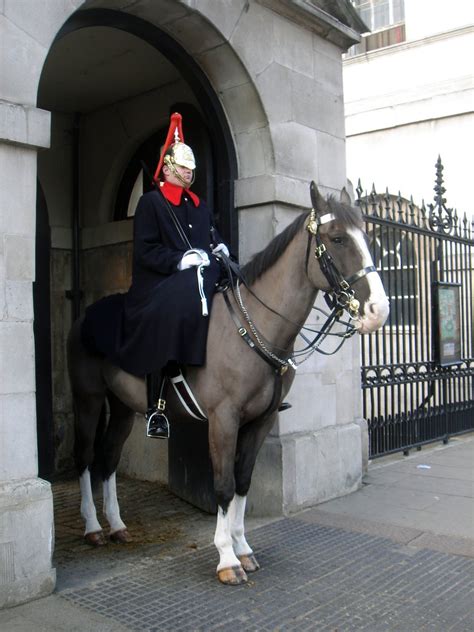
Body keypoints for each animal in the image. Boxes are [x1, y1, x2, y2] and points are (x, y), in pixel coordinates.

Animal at [68, 180, 390, 584]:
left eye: (366, 236)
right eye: (337, 238)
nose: (380, 310)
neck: (253, 329)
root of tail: (86, 314)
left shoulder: (261, 420)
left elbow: (243, 481)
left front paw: (243, 547)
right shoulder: (224, 419)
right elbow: (223, 486)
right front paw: (226, 558)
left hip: (124, 406)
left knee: (109, 459)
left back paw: (116, 525)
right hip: (88, 399)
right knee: (85, 457)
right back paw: (93, 527)